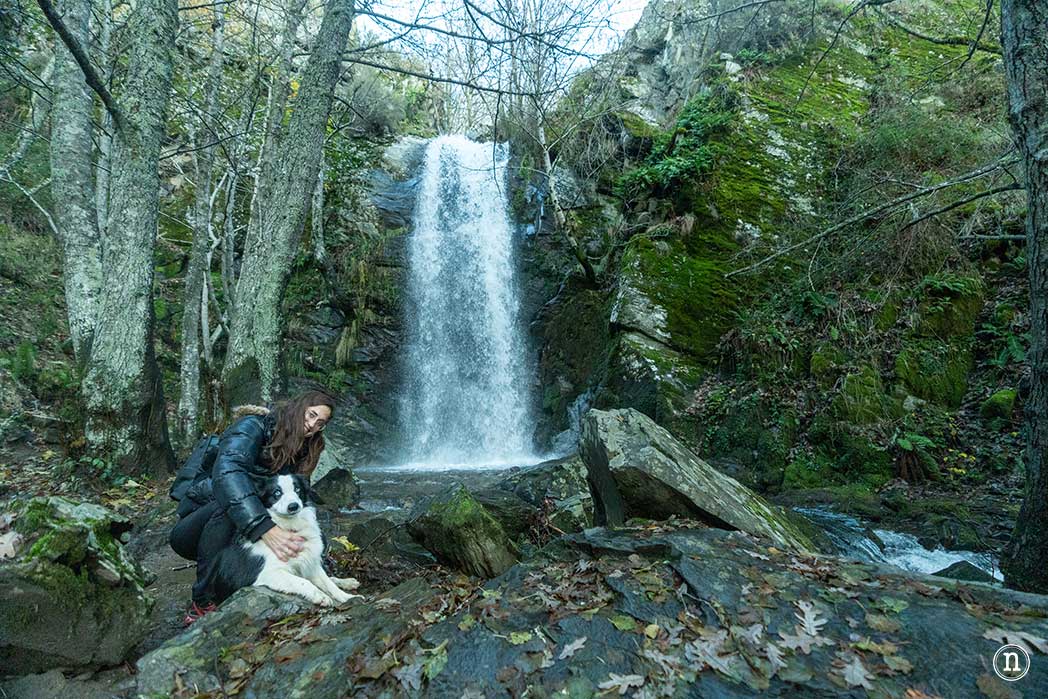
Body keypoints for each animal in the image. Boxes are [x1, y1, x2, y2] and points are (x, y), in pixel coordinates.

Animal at [204, 475, 364, 607]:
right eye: (277, 493)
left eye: (297, 489)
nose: (293, 506)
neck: (289, 527)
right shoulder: (268, 573)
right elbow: (303, 581)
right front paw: (320, 596)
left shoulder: (310, 562)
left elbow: (328, 584)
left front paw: (347, 598)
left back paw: (346, 582)